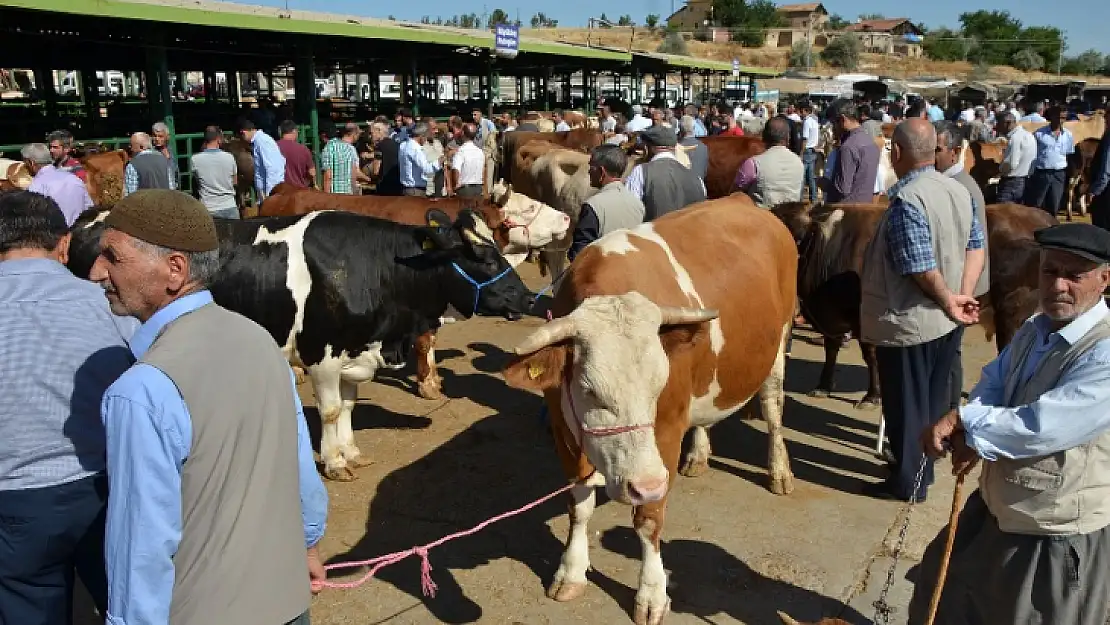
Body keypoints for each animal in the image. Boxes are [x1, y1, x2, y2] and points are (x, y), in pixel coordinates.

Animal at [71, 208, 535, 479]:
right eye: (482, 257)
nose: (529, 297)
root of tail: (93, 214)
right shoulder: (321, 353)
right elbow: (329, 410)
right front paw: (333, 462)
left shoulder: (352, 352)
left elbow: (347, 407)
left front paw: (351, 452)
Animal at [503, 195, 799, 625]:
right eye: (589, 391)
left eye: (659, 385)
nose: (645, 484)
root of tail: (745, 201)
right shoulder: (564, 432)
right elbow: (579, 507)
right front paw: (571, 571)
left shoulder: (666, 433)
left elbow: (648, 521)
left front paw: (652, 594)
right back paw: (699, 454)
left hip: (779, 341)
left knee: (773, 408)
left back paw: (779, 471)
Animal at [772, 202, 1056, 406]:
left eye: (797, 236)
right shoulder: (836, 317)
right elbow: (830, 349)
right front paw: (823, 385)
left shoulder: (867, 319)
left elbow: (870, 356)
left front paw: (872, 396)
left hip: (1012, 312)